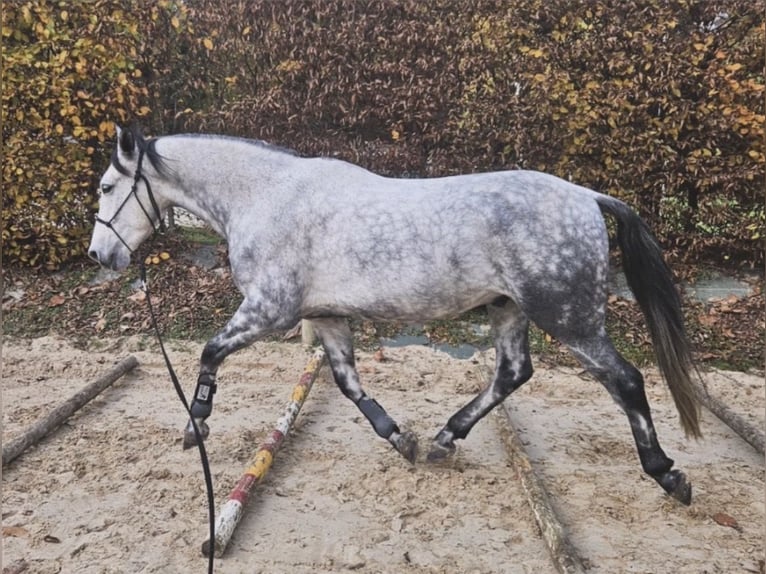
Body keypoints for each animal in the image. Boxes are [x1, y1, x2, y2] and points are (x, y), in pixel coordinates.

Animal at [88, 125, 701, 505]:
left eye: (107, 186)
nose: (100, 255)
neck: (265, 197)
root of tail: (586, 195)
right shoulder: (326, 316)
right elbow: (348, 383)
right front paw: (400, 439)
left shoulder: (268, 310)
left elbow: (210, 351)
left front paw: (196, 426)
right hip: (509, 309)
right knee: (512, 373)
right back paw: (444, 439)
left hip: (569, 318)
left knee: (626, 381)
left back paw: (668, 474)